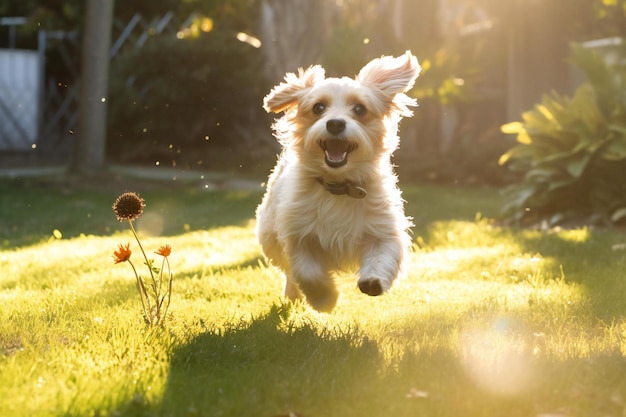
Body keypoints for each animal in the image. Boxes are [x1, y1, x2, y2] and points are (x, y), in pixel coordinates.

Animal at [254, 50, 420, 310]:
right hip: (270, 235)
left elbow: (383, 254)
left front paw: (373, 280)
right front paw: (324, 299)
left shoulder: (383, 229)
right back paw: (292, 294)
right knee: (289, 272)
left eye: (360, 109)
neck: (339, 187)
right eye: (318, 107)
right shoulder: (299, 235)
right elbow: (307, 271)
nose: (335, 123)